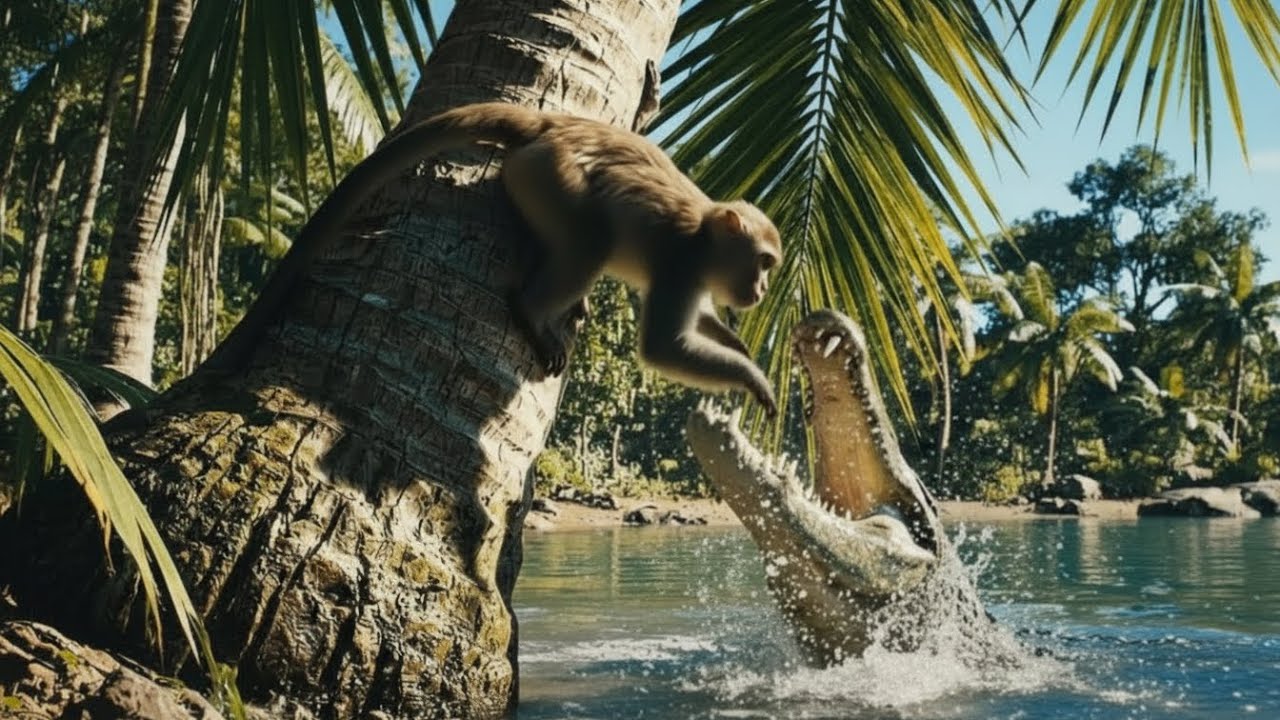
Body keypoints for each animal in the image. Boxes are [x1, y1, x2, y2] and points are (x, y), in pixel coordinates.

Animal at [201, 102, 781, 415]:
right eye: (764, 263)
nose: (761, 292)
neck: (705, 229)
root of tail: (548, 125)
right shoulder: (683, 262)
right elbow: (663, 347)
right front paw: (754, 378)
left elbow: (700, 321)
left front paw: (739, 347)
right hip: (549, 174)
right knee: (592, 240)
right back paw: (531, 312)